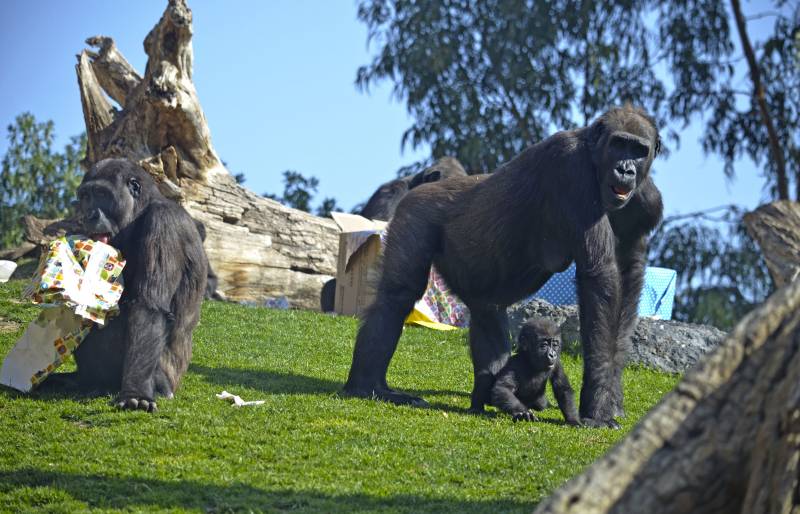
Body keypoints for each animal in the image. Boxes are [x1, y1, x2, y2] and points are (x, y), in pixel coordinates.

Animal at [42, 158, 208, 410]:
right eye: (86, 196)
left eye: (102, 193)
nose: (89, 215)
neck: (140, 212)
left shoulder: (163, 222)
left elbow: (147, 309)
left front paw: (135, 393)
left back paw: (155, 384)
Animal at [344, 104, 664, 424]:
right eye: (618, 144)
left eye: (638, 150)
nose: (625, 169)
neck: (594, 156)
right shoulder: (571, 167)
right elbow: (599, 276)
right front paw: (597, 404)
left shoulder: (646, 200)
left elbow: (628, 275)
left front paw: (611, 393)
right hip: (415, 210)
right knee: (398, 294)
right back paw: (368, 385)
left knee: (488, 314)